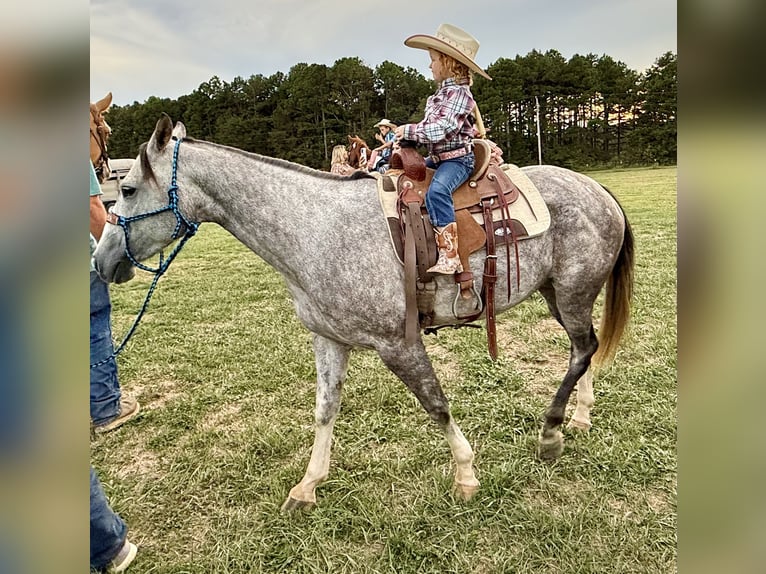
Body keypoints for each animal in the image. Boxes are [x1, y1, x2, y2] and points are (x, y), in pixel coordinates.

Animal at [94, 114, 634, 511]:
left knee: (583, 348)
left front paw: (465, 474)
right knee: (583, 349)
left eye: (127, 189)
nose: (101, 261)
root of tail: (599, 191)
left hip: (572, 292)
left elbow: (437, 405)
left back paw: (550, 433)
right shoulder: (329, 340)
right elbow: (325, 409)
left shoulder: (399, 343)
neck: (317, 230)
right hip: (557, 294)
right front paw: (308, 485)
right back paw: (578, 418)